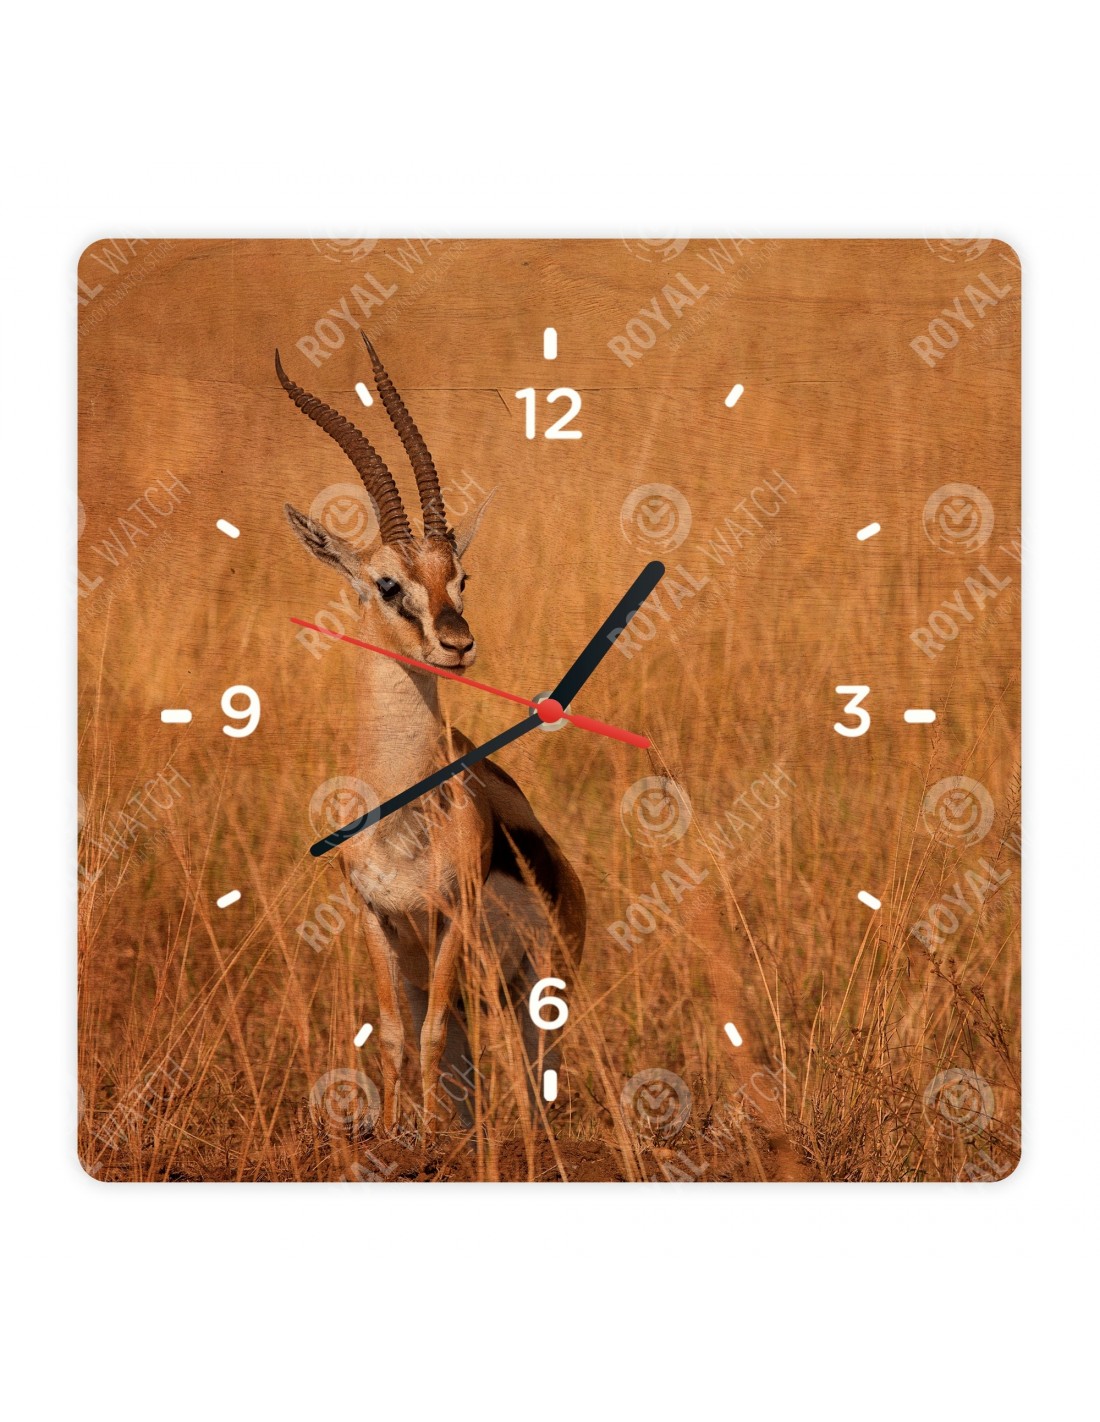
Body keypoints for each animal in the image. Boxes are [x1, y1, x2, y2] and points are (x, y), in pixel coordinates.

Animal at [278, 336, 586, 1140]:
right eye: (388, 583)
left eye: (462, 575)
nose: (457, 643)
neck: (401, 816)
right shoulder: (378, 921)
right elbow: (396, 1035)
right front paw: (394, 1134)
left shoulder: (448, 919)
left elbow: (429, 1033)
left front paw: (424, 1140)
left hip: (537, 992)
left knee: (528, 1069)